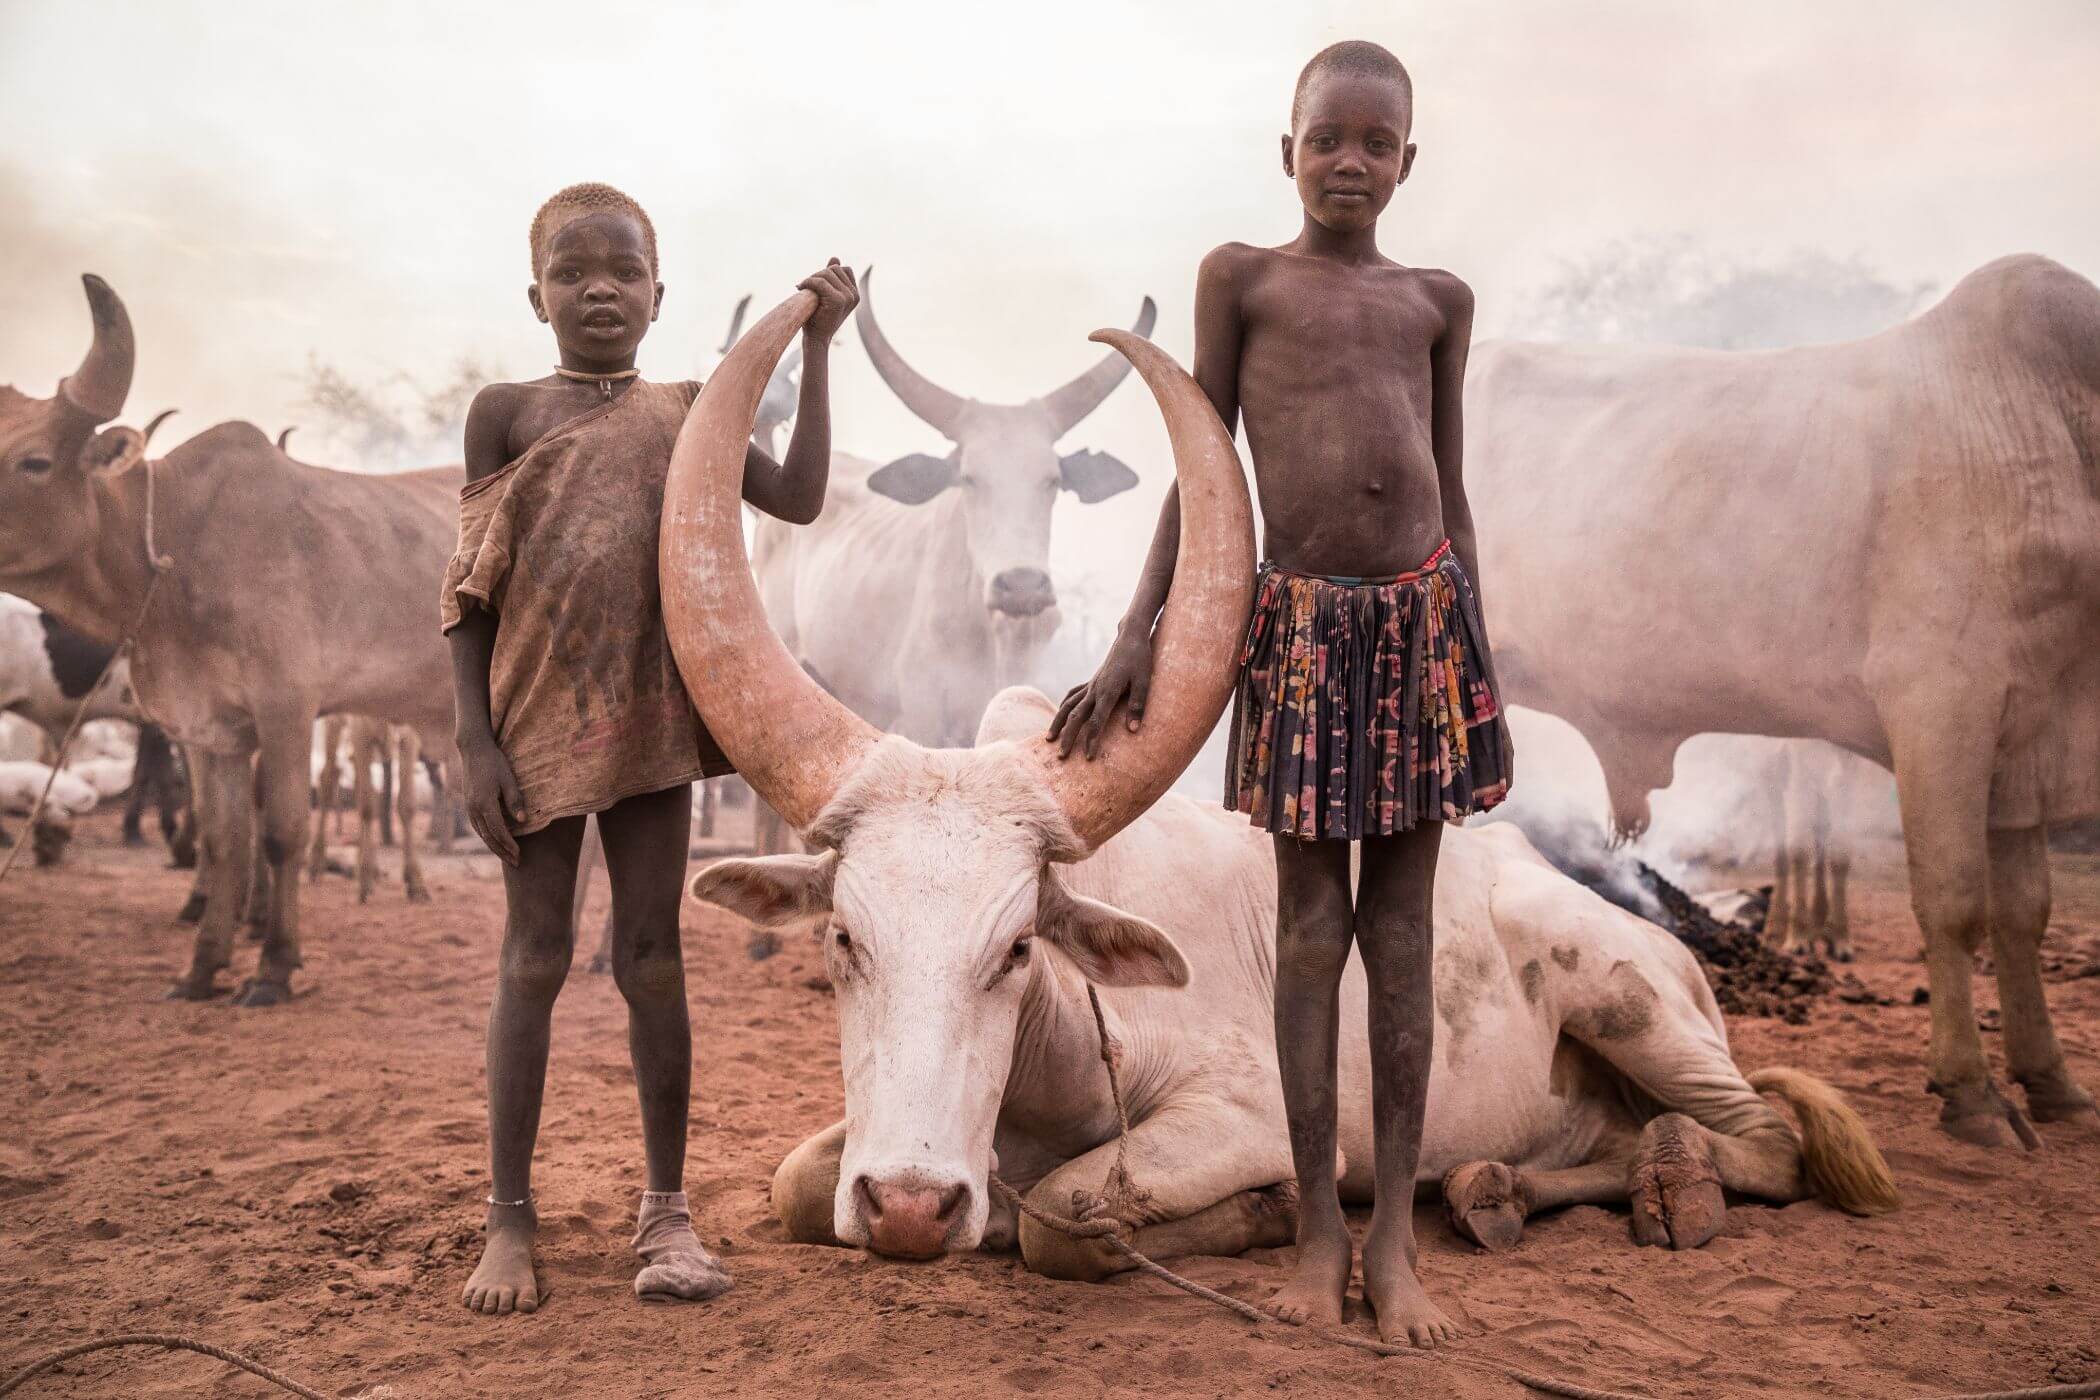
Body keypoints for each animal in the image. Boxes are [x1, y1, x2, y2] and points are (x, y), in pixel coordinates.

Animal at [0, 276, 460, 1005]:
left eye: (35, 461)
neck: (180, 542)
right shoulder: (211, 731)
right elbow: (222, 841)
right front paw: (202, 965)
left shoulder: (286, 711)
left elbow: (279, 834)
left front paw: (274, 966)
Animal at [1462, 254, 2100, 1150]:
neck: (2056, 424)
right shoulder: (1942, 703)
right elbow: (1954, 904)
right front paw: (1971, 1091)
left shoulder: (2024, 743)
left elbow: (2023, 915)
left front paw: (2051, 1081)